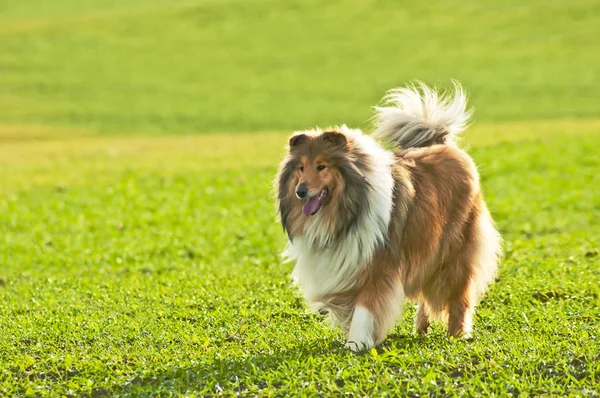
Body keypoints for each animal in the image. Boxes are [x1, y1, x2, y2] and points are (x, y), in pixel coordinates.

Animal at [276, 81, 502, 352]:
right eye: (301, 168)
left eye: (321, 166)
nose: (300, 192)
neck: (342, 215)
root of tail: (443, 145)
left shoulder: (378, 265)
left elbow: (365, 309)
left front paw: (356, 344)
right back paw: (421, 329)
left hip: (454, 255)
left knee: (460, 297)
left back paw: (457, 335)